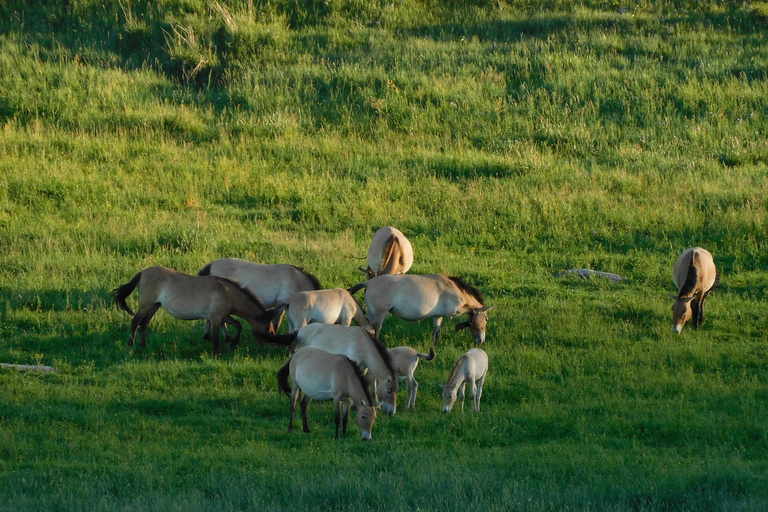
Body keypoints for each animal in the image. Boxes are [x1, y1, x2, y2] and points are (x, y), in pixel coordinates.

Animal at [112, 266, 272, 354]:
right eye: (267, 329)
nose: (270, 347)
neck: (226, 292)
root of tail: (143, 272)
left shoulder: (223, 316)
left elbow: (238, 325)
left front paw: (232, 344)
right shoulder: (216, 318)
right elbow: (216, 337)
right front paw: (216, 353)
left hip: (154, 306)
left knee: (144, 324)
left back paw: (143, 345)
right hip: (146, 305)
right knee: (135, 322)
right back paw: (131, 345)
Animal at [260, 324, 402, 416]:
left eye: (397, 390)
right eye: (388, 391)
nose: (391, 412)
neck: (362, 344)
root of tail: (299, 331)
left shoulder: (364, 368)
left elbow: (370, 384)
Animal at [348, 274, 492, 346]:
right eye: (486, 319)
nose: (481, 341)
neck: (452, 287)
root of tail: (368, 283)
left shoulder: (437, 316)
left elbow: (436, 332)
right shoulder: (453, 311)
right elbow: (470, 310)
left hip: (372, 314)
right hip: (380, 315)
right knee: (374, 331)